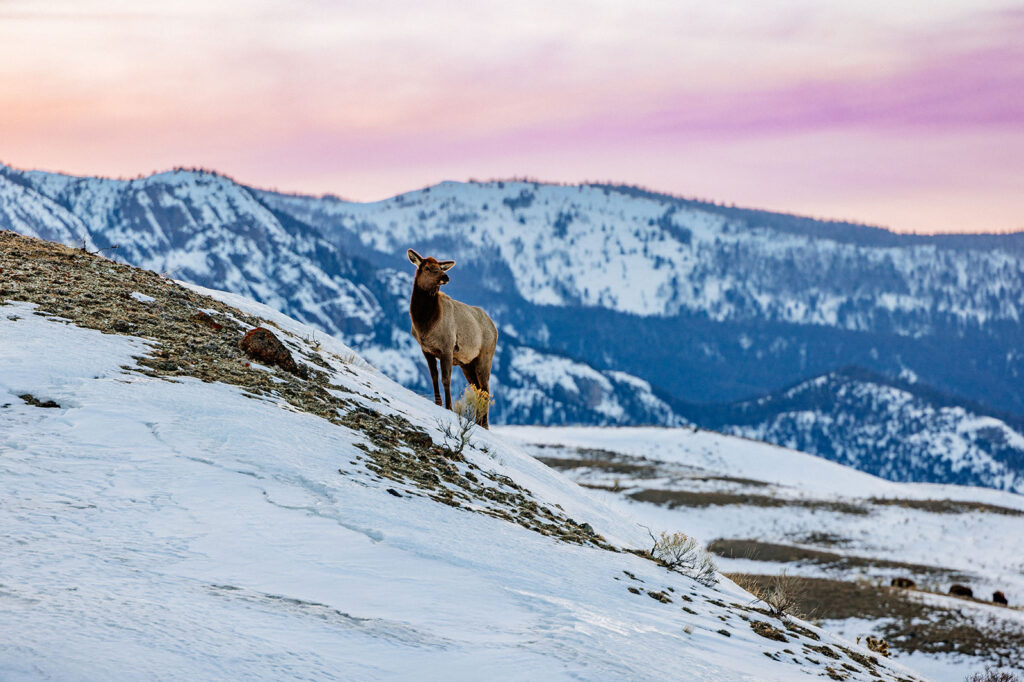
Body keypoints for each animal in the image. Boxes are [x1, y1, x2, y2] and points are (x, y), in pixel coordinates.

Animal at [407, 249, 497, 428]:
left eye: (440, 267)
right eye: (427, 268)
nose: (446, 277)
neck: (425, 324)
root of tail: (495, 328)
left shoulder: (447, 347)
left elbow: (446, 379)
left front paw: (448, 407)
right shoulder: (426, 349)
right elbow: (434, 376)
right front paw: (438, 402)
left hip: (484, 357)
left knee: (485, 389)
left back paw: (484, 424)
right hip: (467, 363)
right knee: (478, 389)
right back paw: (478, 422)